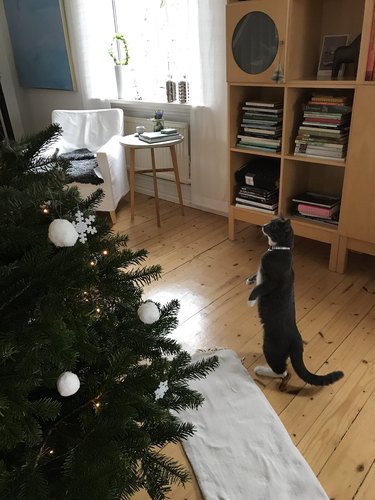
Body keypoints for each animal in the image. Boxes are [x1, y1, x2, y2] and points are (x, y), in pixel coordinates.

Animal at [248, 218, 346, 390]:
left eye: (272, 226)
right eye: (270, 222)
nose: (264, 225)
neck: (278, 250)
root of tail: (296, 341)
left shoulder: (272, 283)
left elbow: (259, 288)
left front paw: (251, 301)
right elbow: (256, 277)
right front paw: (249, 280)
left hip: (271, 346)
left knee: (282, 371)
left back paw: (261, 369)